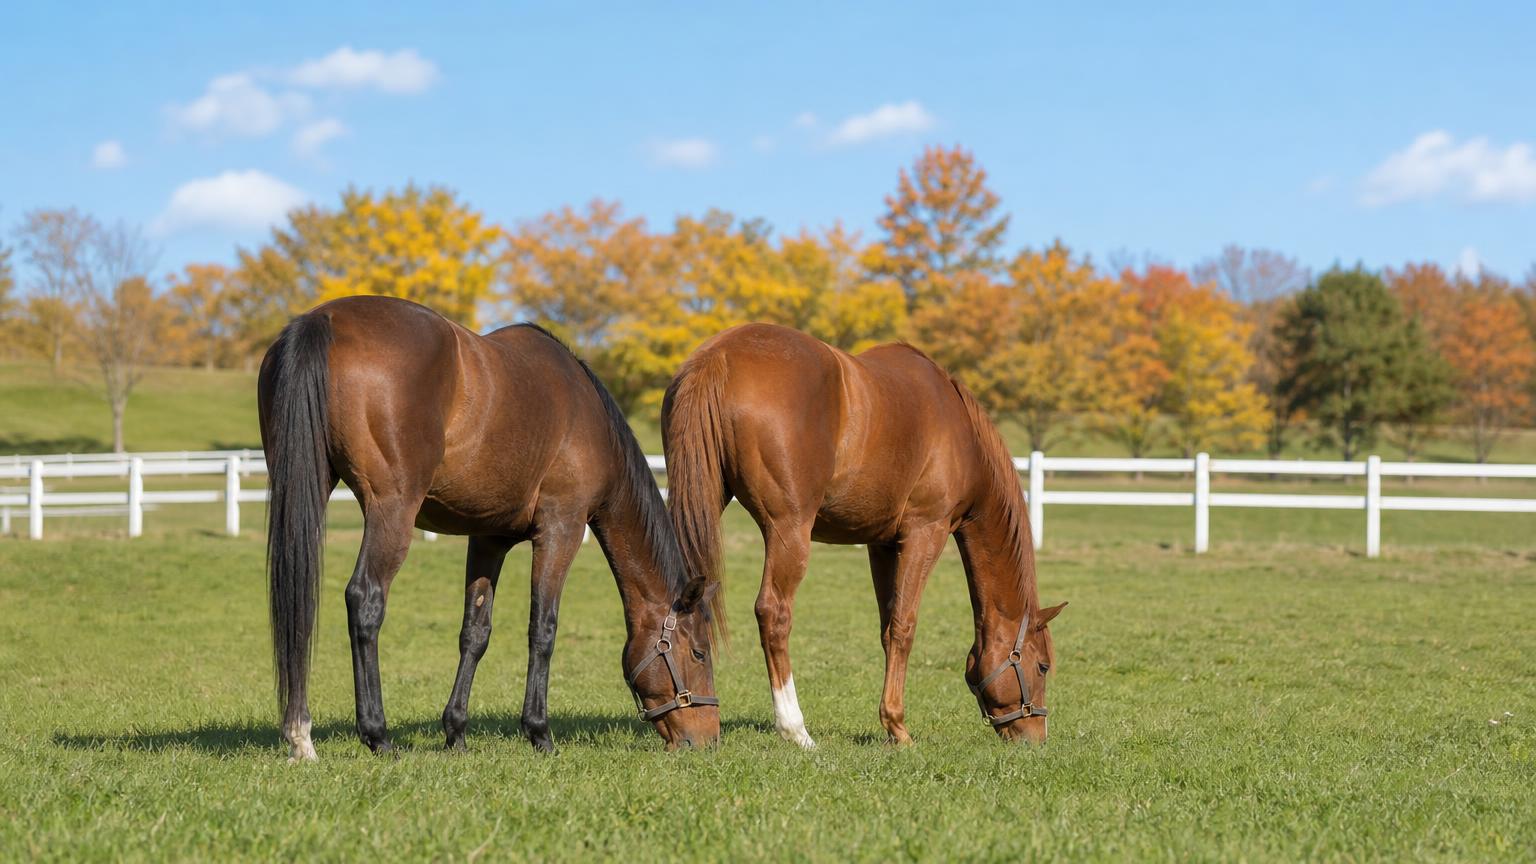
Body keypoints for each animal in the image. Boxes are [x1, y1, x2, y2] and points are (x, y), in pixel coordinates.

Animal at [258, 296, 718, 760]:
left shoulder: (488, 539)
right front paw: (539, 732)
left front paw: (456, 732)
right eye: (699, 653)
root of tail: (323, 319)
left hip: (304, 485)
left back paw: (299, 735)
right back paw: (376, 734)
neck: (589, 418)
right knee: (365, 599)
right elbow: (543, 629)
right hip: (392, 510)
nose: (707, 739)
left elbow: (475, 632)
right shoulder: (562, 529)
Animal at [662, 323, 1065, 748]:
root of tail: (719, 356)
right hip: (788, 530)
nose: (1036, 737)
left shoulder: (881, 543)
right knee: (773, 613)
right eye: (1042, 666)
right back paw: (795, 730)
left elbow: (887, 626)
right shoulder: (926, 532)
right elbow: (904, 626)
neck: (961, 431)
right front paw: (898, 727)